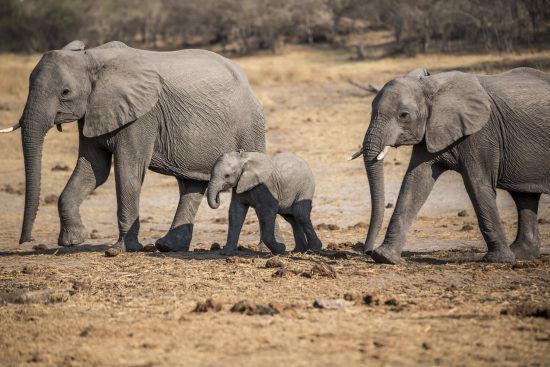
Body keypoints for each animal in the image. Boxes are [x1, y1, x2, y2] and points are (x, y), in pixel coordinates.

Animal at [0, 40, 268, 253]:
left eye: (65, 92)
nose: (25, 241)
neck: (92, 58)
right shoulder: (93, 110)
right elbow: (94, 169)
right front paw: (73, 241)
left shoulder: (142, 115)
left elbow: (128, 168)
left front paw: (121, 250)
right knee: (191, 184)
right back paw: (168, 247)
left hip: (250, 125)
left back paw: (263, 249)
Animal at [354, 67, 550, 264]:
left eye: (404, 115)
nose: (367, 250)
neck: (430, 86)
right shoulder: (431, 129)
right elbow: (415, 182)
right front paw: (385, 257)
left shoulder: (482, 133)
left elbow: (477, 185)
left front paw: (498, 260)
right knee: (525, 196)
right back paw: (522, 254)